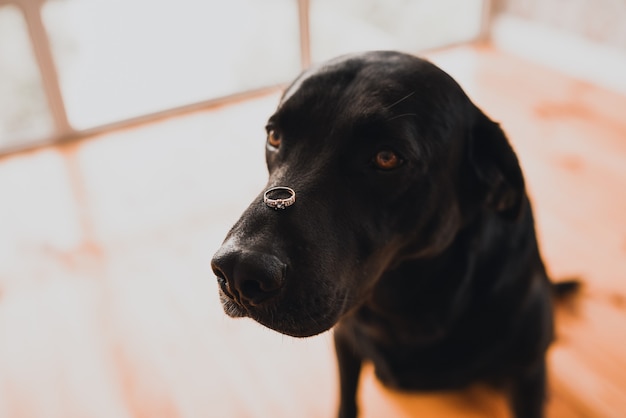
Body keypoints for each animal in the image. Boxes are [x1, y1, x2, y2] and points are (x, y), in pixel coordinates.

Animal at [211, 50, 576, 416]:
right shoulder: (346, 343)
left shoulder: (527, 374)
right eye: (274, 137)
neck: (405, 308)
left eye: (386, 157)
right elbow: (347, 401)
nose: (238, 270)